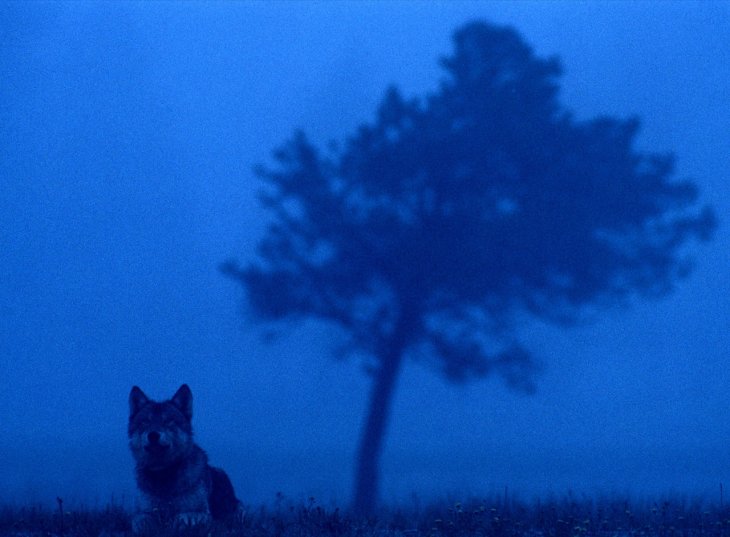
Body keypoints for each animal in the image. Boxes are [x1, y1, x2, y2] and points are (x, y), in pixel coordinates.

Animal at [126, 384, 239, 528]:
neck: (163, 474)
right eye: (145, 422)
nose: (153, 435)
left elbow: (184, 516)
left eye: (168, 421)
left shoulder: (202, 513)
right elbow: (140, 519)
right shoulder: (143, 511)